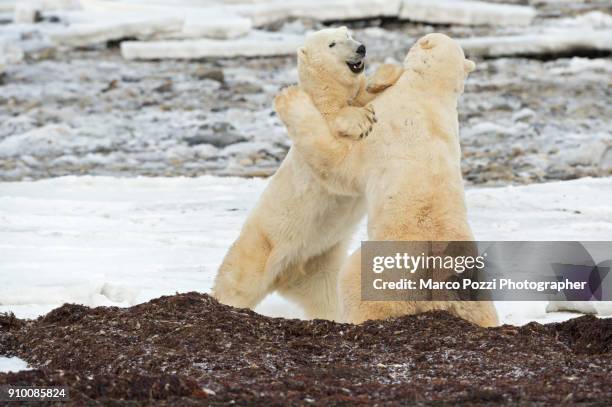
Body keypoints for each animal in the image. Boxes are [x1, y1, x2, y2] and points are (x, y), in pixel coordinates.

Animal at [213, 27, 404, 322]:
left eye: (349, 34)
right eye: (332, 44)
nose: (360, 48)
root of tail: (284, 275)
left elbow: (368, 93)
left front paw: (386, 74)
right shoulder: (324, 121)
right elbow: (332, 137)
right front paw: (361, 119)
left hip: (319, 260)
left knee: (325, 297)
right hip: (261, 245)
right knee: (236, 281)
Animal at [274, 33, 500, 330]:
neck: (429, 93)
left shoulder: (383, 126)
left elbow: (338, 165)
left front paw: (290, 98)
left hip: (381, 271)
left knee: (353, 282)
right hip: (473, 287)